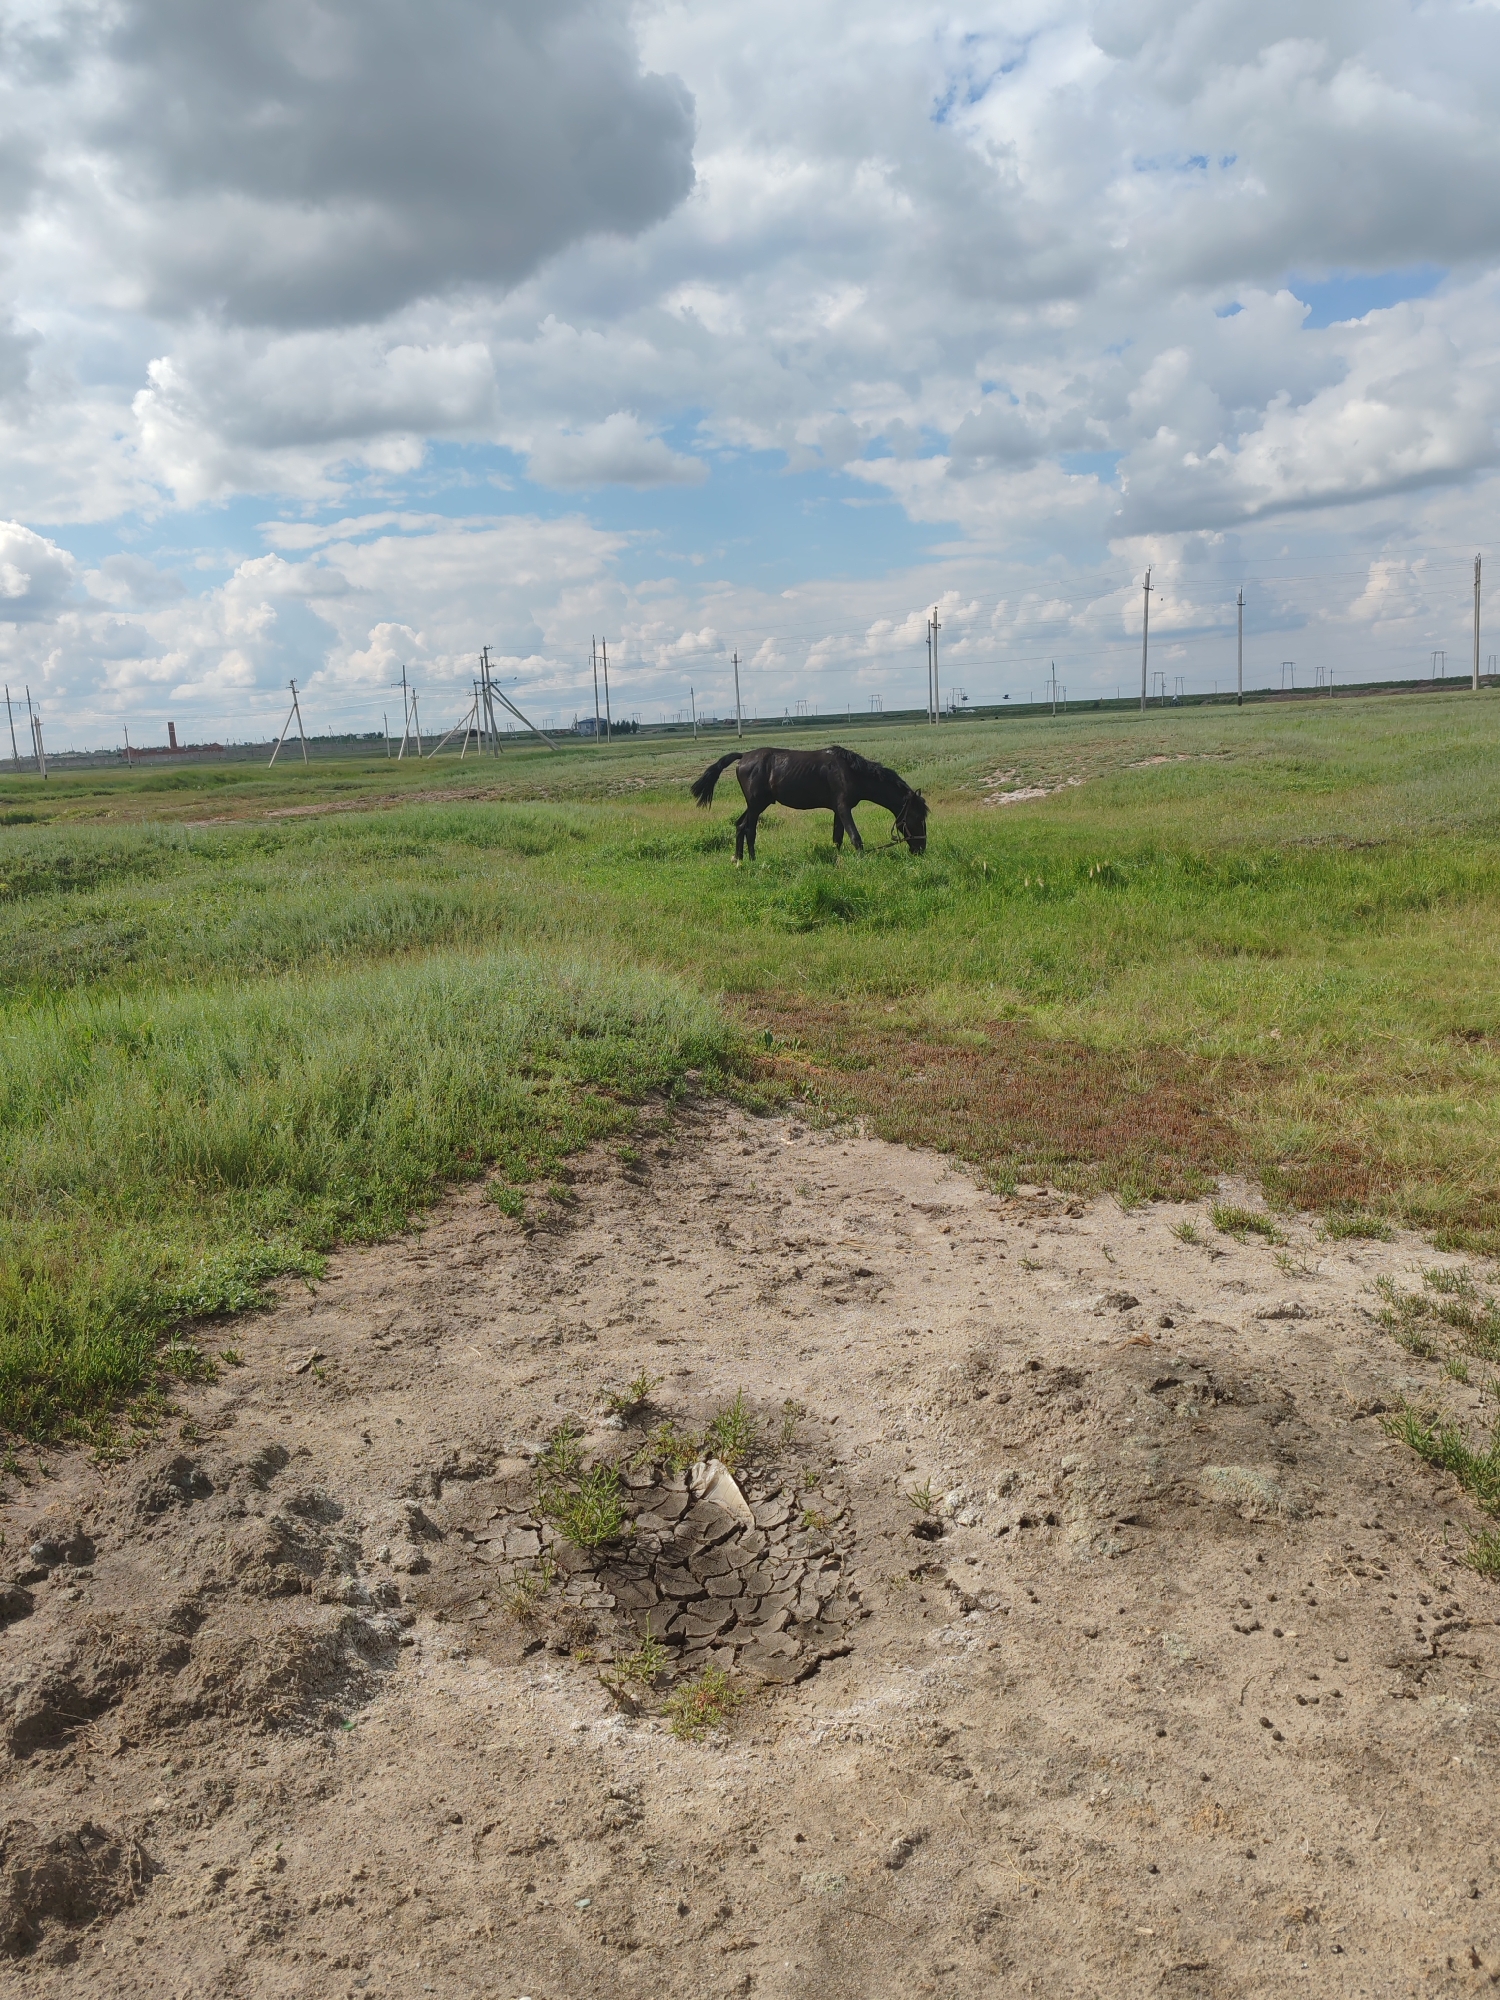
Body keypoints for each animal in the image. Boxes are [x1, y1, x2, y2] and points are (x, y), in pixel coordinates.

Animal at [690, 744, 929, 862]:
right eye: (917, 817)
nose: (921, 849)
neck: (851, 771)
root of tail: (744, 757)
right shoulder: (843, 808)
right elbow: (855, 838)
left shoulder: (838, 810)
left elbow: (837, 839)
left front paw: (837, 859)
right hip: (757, 805)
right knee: (750, 829)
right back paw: (752, 859)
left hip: (756, 804)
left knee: (740, 826)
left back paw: (738, 859)